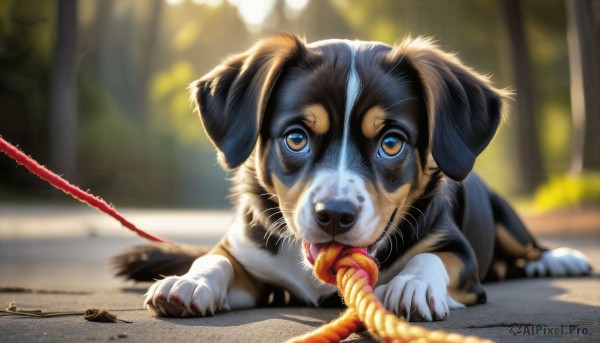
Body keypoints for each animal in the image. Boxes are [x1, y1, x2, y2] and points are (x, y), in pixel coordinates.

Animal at [115, 34, 592, 322]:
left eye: (392, 143)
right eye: (296, 137)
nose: (334, 216)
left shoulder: (460, 253)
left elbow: (432, 258)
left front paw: (413, 286)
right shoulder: (248, 257)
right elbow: (215, 259)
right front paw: (189, 282)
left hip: (505, 216)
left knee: (528, 246)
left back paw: (559, 259)